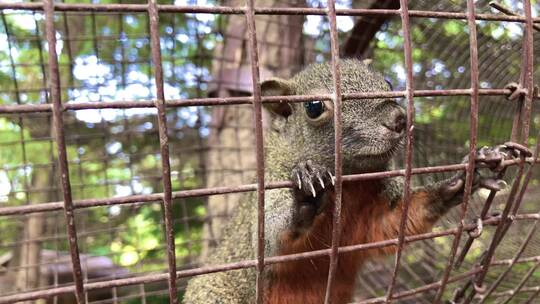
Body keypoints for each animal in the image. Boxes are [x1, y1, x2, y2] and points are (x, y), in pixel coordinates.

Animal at [184, 59, 516, 304]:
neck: (352, 184)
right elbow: (270, 241)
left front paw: (463, 179)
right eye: (314, 107)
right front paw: (307, 190)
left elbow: (393, 223)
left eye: (387, 83)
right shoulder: (273, 191)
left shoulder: (367, 218)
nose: (398, 118)